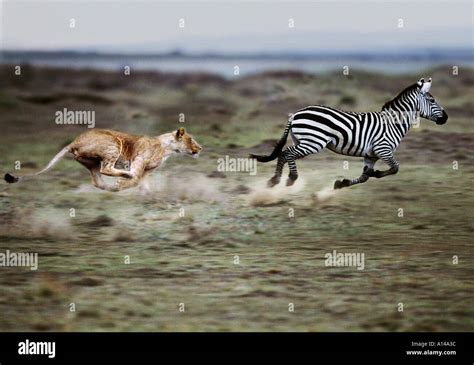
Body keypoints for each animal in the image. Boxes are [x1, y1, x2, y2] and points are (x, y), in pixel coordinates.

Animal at [252, 78, 448, 189]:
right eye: (432, 100)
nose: (446, 118)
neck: (393, 123)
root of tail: (295, 114)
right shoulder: (383, 149)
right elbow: (395, 168)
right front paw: (377, 174)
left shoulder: (371, 155)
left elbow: (364, 177)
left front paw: (342, 183)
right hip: (313, 142)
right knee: (287, 153)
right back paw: (285, 179)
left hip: (303, 141)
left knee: (286, 154)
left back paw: (279, 180)